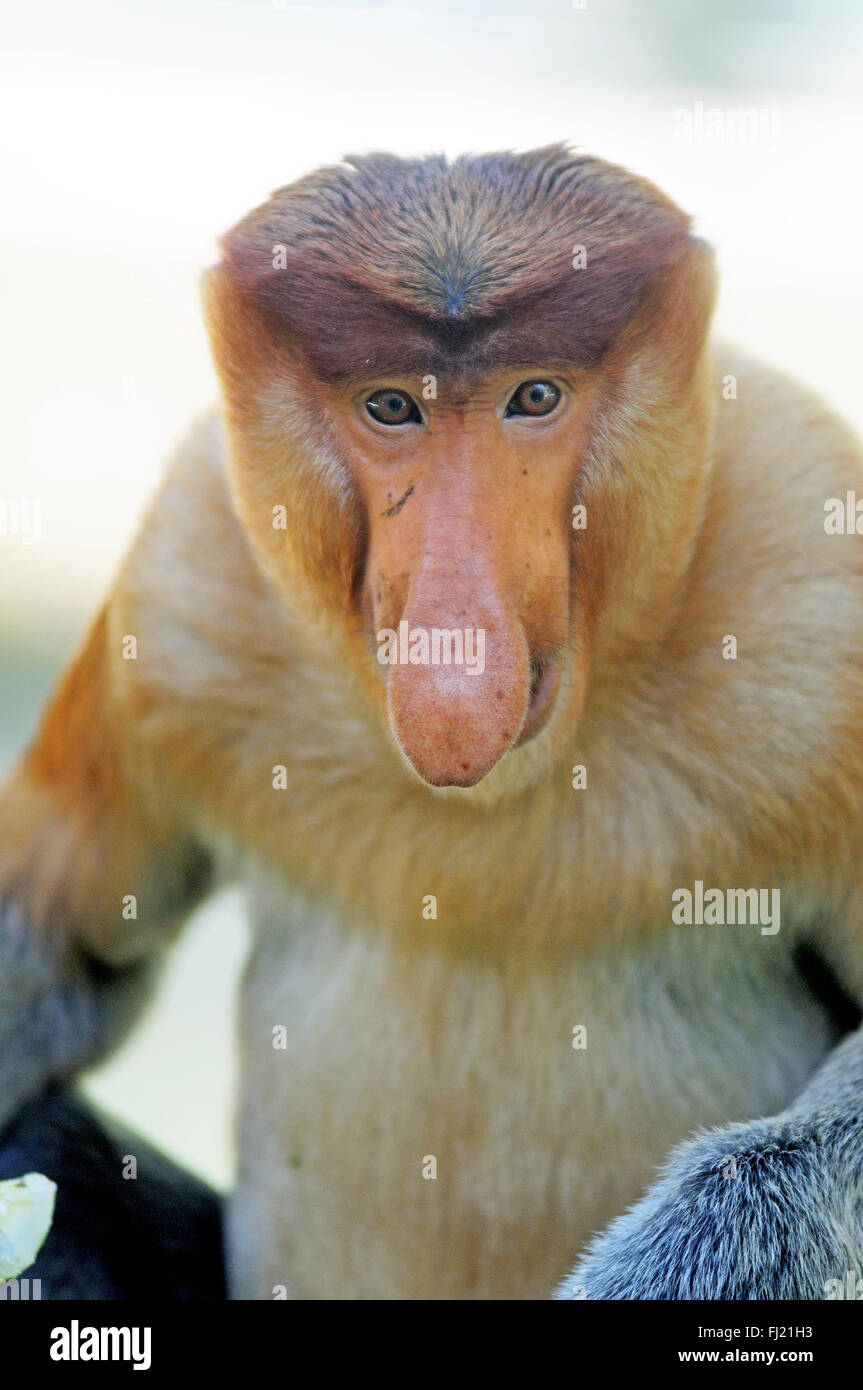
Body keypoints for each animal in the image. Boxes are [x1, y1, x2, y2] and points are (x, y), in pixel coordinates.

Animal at [2, 144, 863, 1300]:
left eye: (533, 396)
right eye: (390, 408)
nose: (453, 645)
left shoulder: (822, 588)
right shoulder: (181, 588)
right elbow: (61, 943)